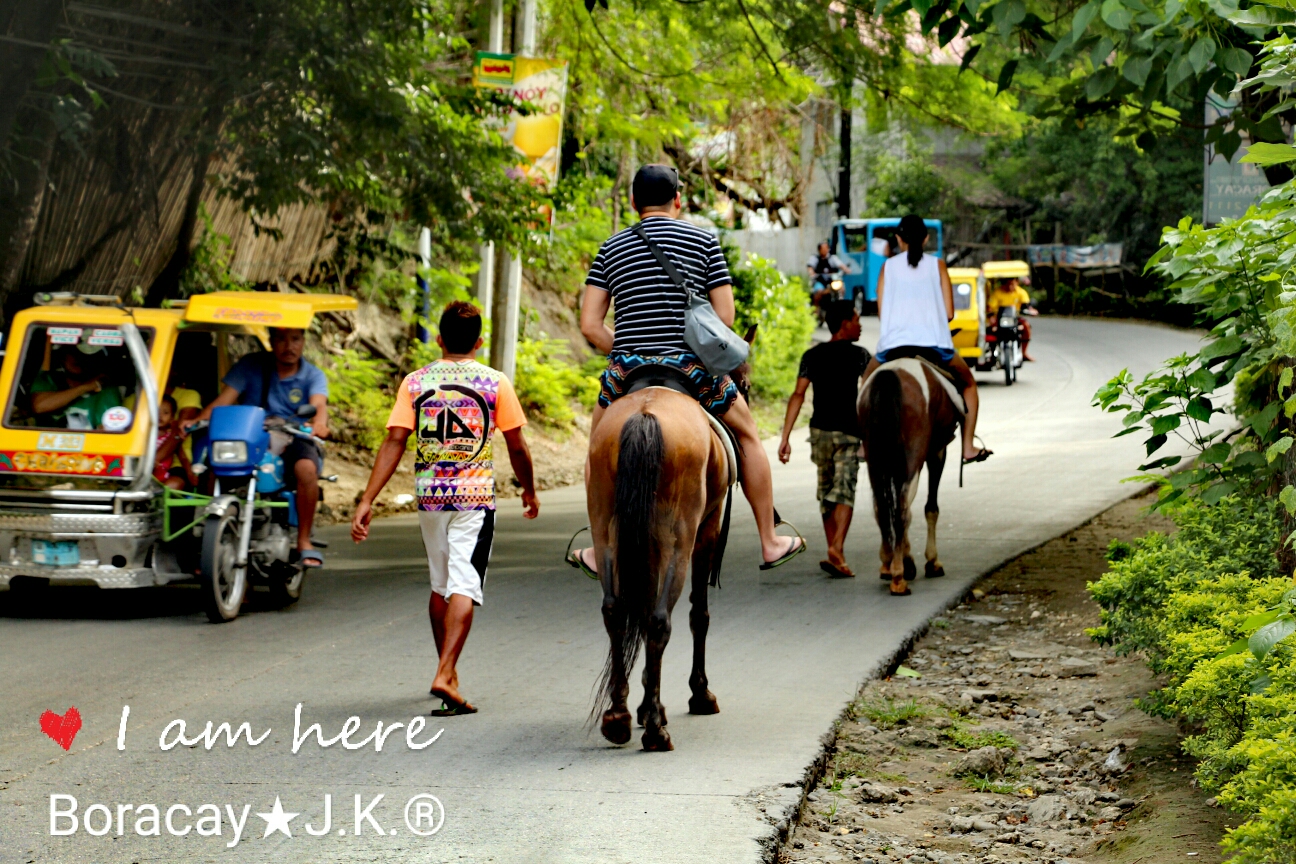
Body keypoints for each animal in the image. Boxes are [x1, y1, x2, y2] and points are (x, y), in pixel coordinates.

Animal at [590, 386, 736, 751]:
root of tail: (646, 415)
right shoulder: (707, 529)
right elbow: (699, 615)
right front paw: (699, 695)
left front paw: (643, 707)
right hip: (680, 537)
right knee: (660, 621)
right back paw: (656, 731)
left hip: (605, 529)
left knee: (616, 612)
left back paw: (619, 717)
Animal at [860, 357, 964, 595]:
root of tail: (890, 375)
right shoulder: (937, 452)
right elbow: (931, 508)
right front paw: (932, 562)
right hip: (912, 459)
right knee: (903, 509)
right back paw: (900, 575)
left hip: (874, 458)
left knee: (882, 507)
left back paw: (889, 563)